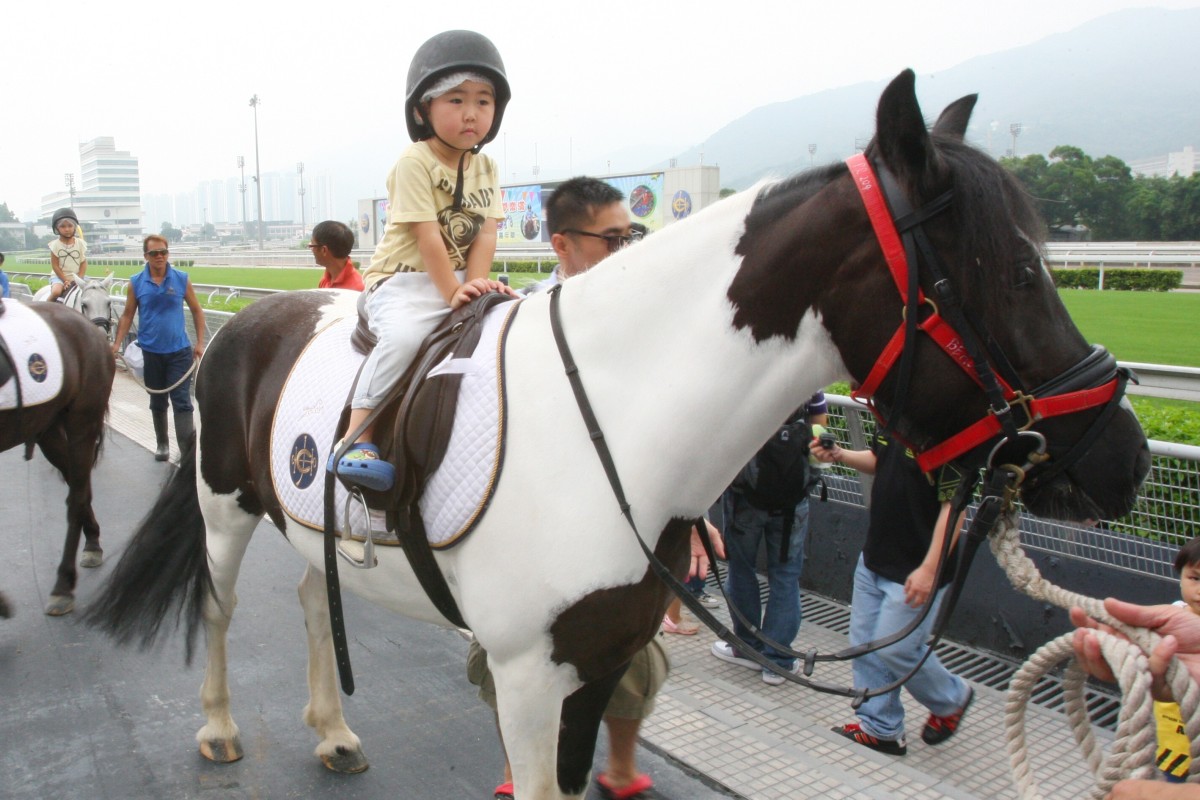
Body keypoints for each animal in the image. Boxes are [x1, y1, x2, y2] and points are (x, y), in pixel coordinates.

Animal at [0, 299, 115, 616]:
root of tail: (92, 330)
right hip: (47, 428)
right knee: (80, 486)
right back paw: (93, 543)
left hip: (81, 423)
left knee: (76, 496)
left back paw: (63, 585)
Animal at [86, 70, 1149, 799]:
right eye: (1017, 272)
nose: (1124, 457)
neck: (613, 421)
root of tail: (257, 320)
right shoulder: (525, 674)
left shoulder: (595, 663)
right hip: (226, 509)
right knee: (221, 607)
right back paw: (220, 727)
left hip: (311, 526)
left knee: (314, 597)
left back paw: (332, 729)